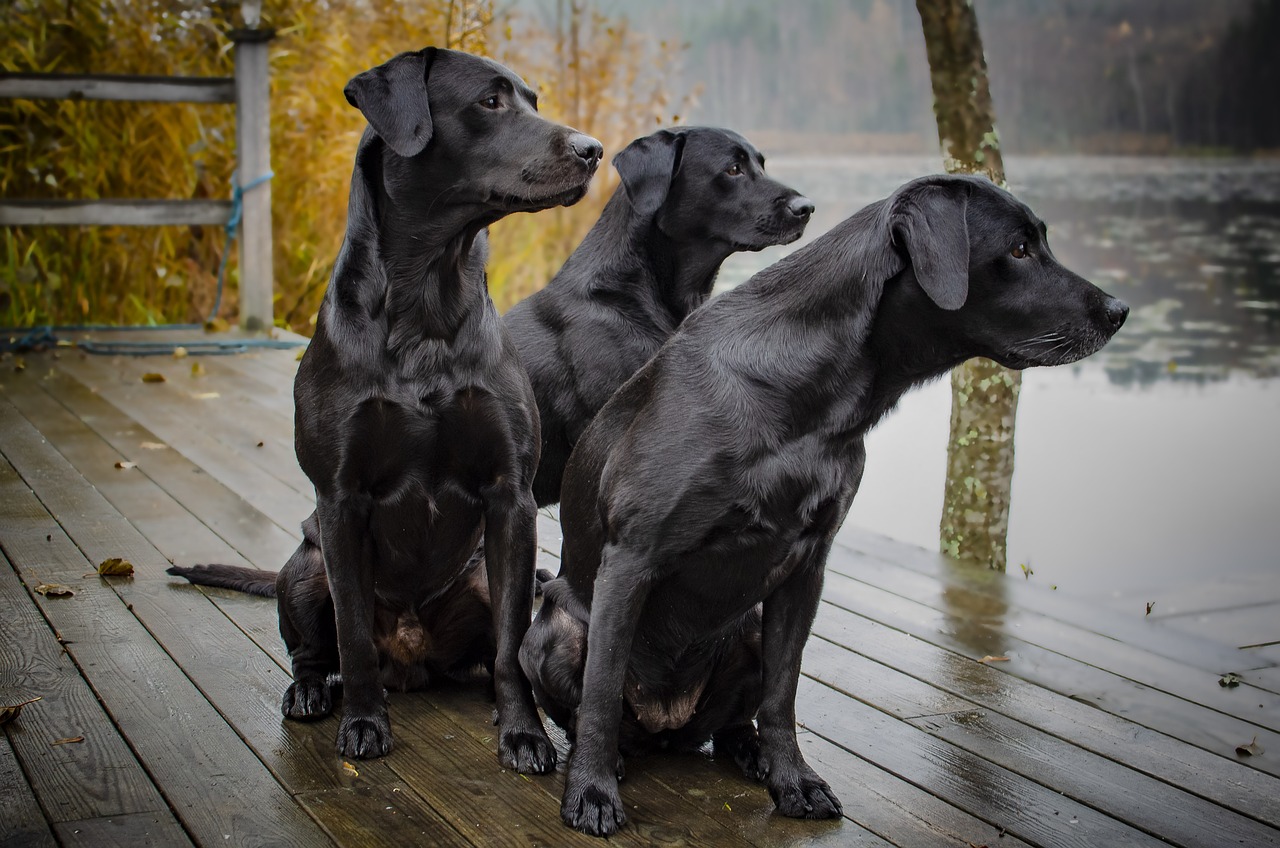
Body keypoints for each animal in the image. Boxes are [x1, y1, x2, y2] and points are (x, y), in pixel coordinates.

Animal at [517, 174, 1121, 835]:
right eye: (1018, 249)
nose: (1118, 311)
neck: (811, 400)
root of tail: (664, 723)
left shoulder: (806, 568)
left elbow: (783, 695)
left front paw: (793, 781)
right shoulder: (631, 560)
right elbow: (601, 691)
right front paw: (592, 791)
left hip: (748, 629)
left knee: (730, 723)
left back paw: (749, 751)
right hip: (555, 631)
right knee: (591, 706)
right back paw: (616, 756)